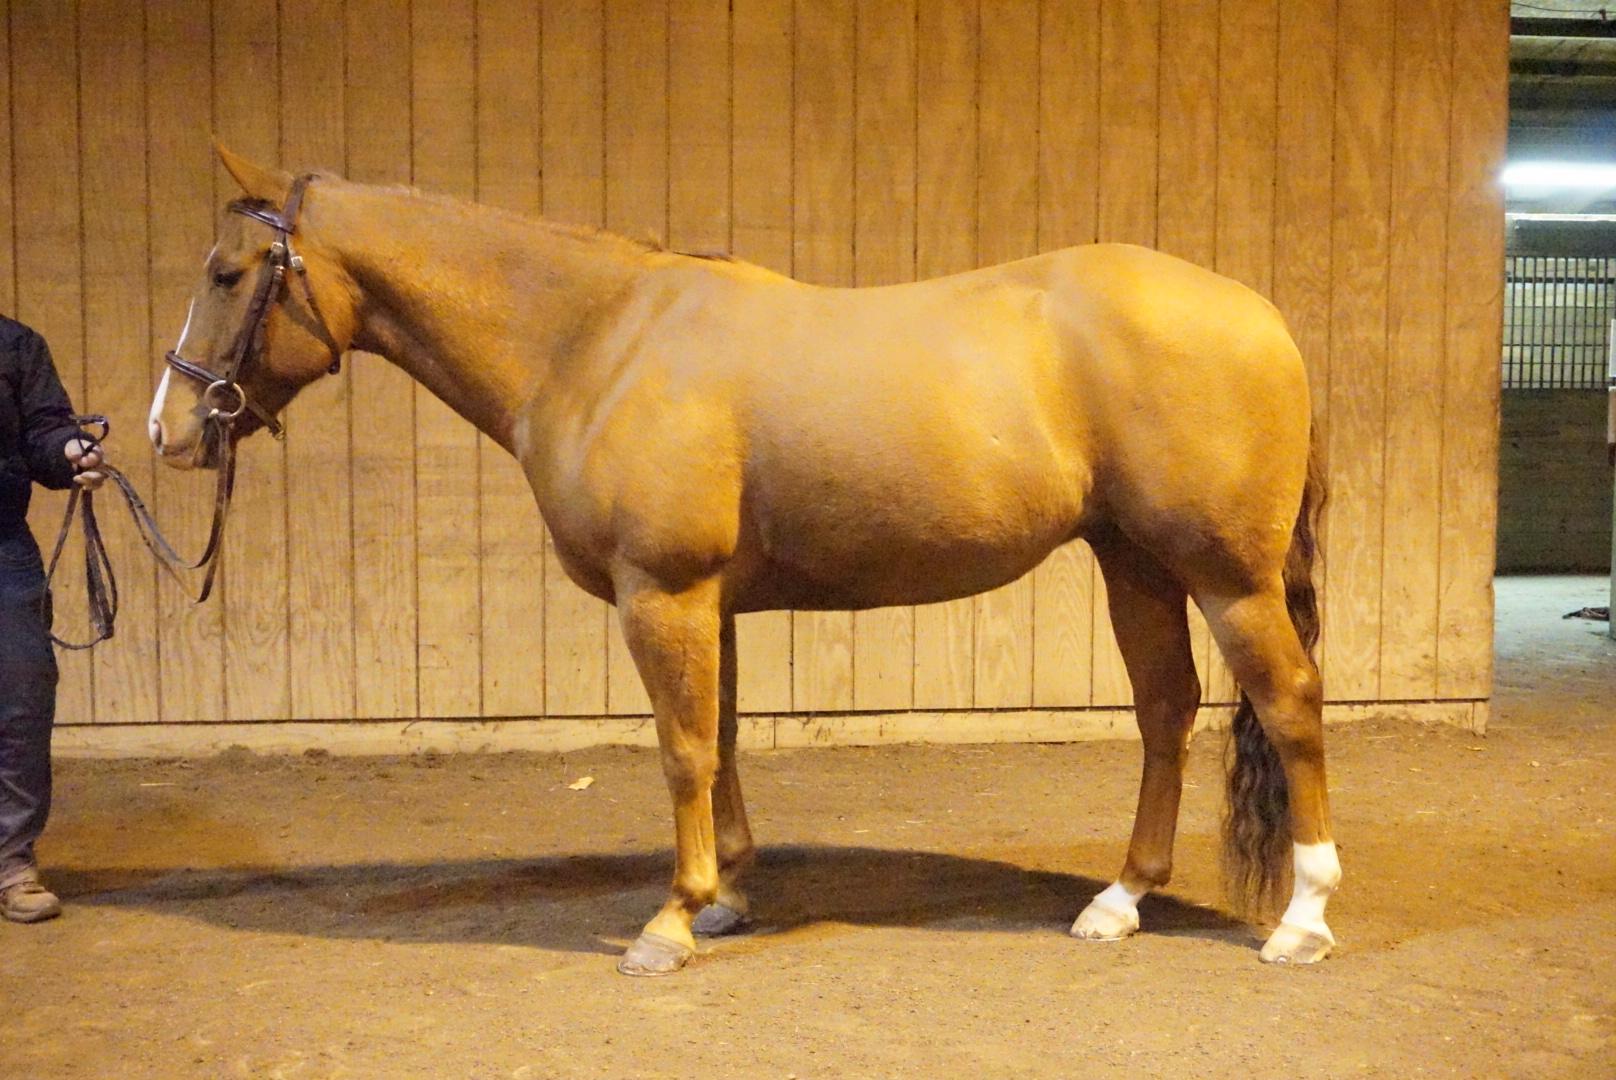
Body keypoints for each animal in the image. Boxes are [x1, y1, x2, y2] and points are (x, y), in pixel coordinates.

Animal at [148, 146, 1339, 976]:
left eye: (228, 273)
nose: (167, 430)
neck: (595, 340)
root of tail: (1266, 319)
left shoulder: (660, 593)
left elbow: (678, 751)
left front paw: (669, 924)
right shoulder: (705, 603)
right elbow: (718, 742)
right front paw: (723, 896)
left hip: (1225, 579)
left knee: (1288, 704)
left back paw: (1302, 917)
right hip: (1132, 561)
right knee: (1164, 710)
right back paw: (1118, 902)